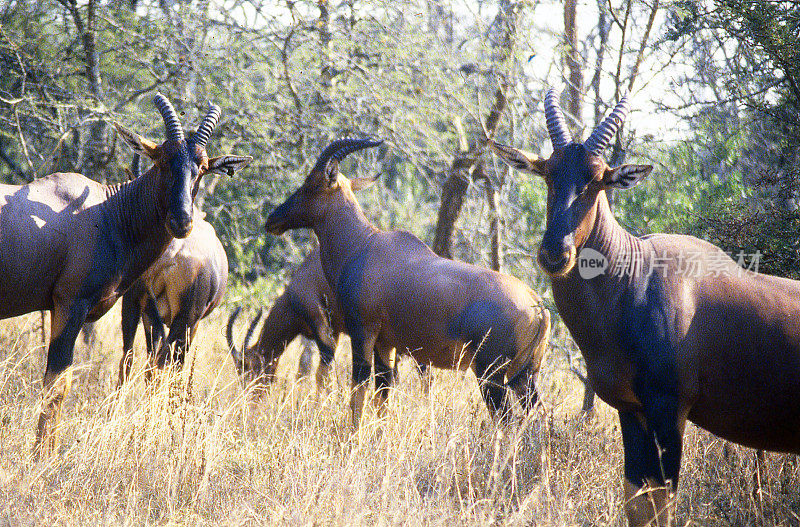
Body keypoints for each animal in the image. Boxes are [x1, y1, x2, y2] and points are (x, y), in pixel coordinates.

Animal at [119, 154, 231, 384]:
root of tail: (173, 252)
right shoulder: (191, 323)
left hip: (137, 301)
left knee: (134, 357)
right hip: (180, 318)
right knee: (162, 361)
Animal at [262, 138, 552, 426]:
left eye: (311, 184)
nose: (272, 219)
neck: (365, 245)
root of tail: (537, 305)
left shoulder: (362, 331)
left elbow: (358, 392)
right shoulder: (385, 343)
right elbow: (382, 395)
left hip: (491, 376)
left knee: (508, 422)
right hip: (523, 376)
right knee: (538, 418)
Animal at [490, 88, 800, 524]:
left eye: (597, 179)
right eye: (548, 172)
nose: (555, 253)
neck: (637, 274)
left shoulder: (669, 412)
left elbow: (663, 503)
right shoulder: (632, 411)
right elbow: (638, 502)